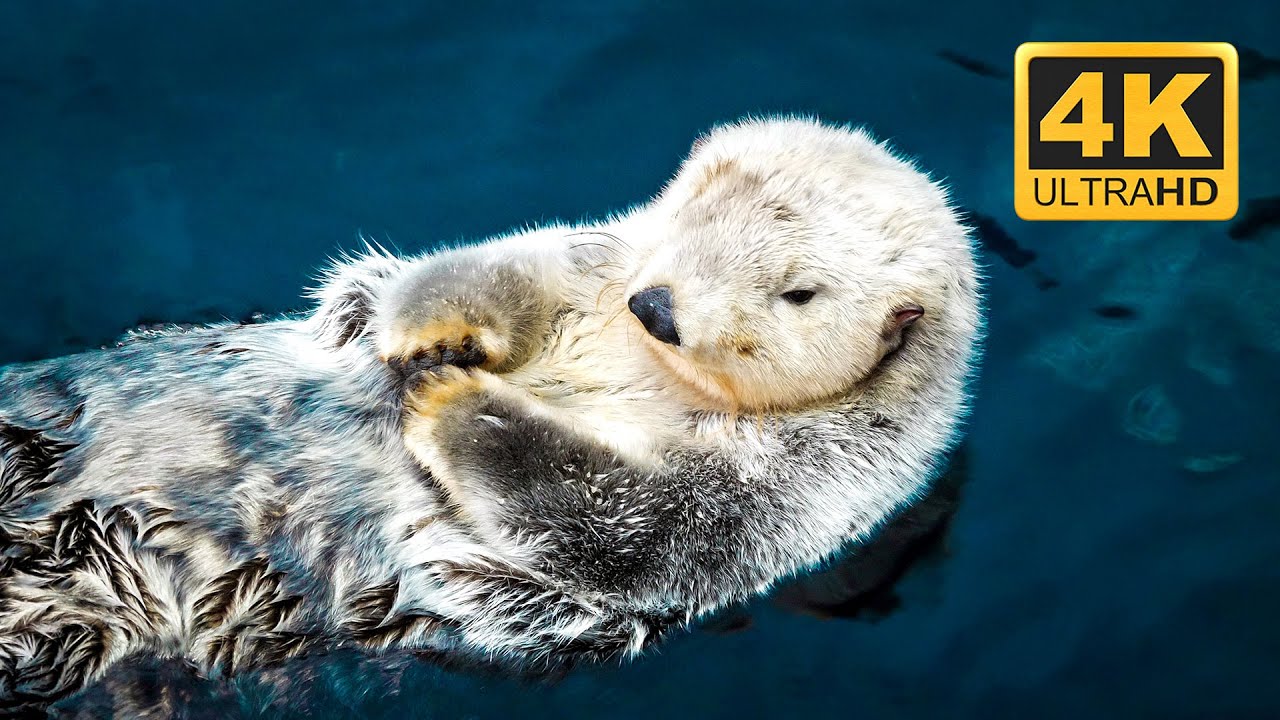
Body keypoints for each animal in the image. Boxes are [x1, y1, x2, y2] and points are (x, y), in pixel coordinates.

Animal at [0, 117, 980, 713]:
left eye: (800, 293)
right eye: (697, 212)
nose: (658, 308)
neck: (656, 367)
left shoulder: (803, 490)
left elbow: (630, 521)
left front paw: (453, 397)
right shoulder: (592, 257)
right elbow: (498, 269)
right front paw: (417, 337)